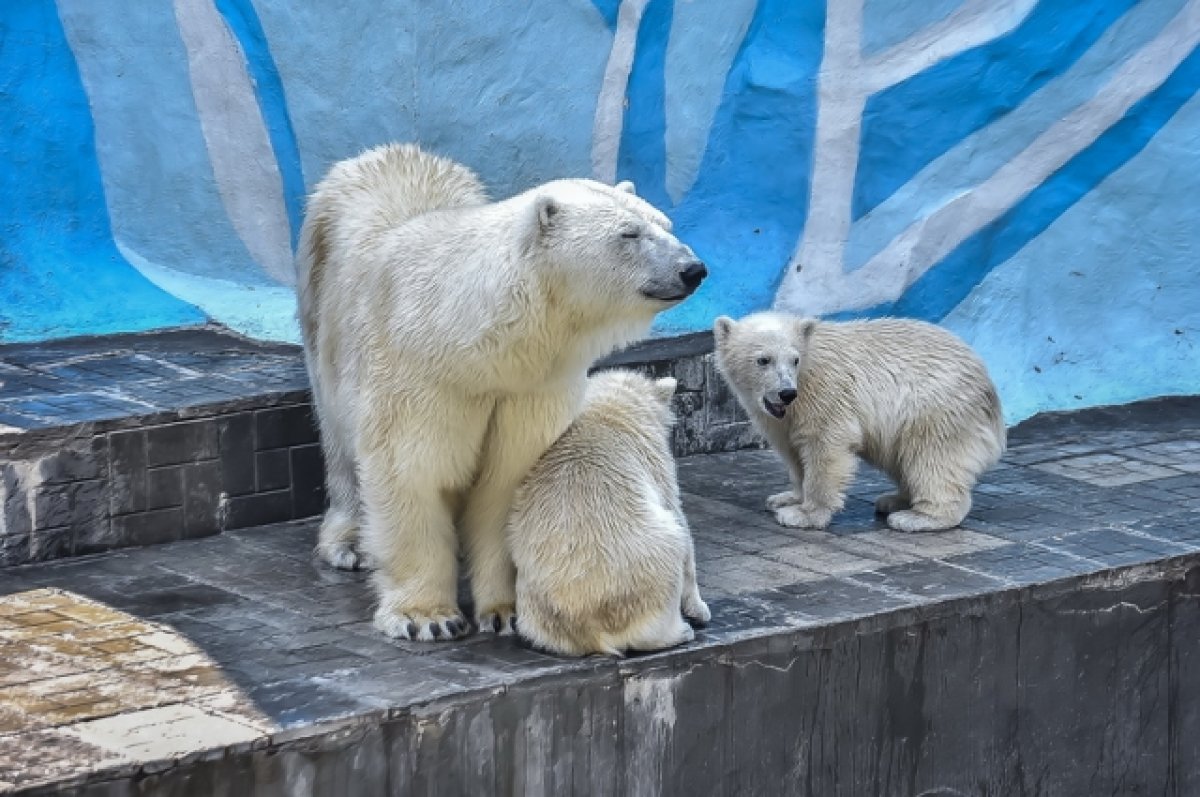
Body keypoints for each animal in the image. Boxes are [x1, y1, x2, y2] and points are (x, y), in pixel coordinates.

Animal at [296, 143, 705, 643]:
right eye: (629, 233)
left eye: (665, 223)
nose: (693, 269)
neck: (471, 338)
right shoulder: (416, 374)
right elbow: (410, 471)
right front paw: (426, 617)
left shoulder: (528, 389)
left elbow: (503, 485)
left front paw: (506, 612)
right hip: (320, 303)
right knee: (337, 435)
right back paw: (349, 542)